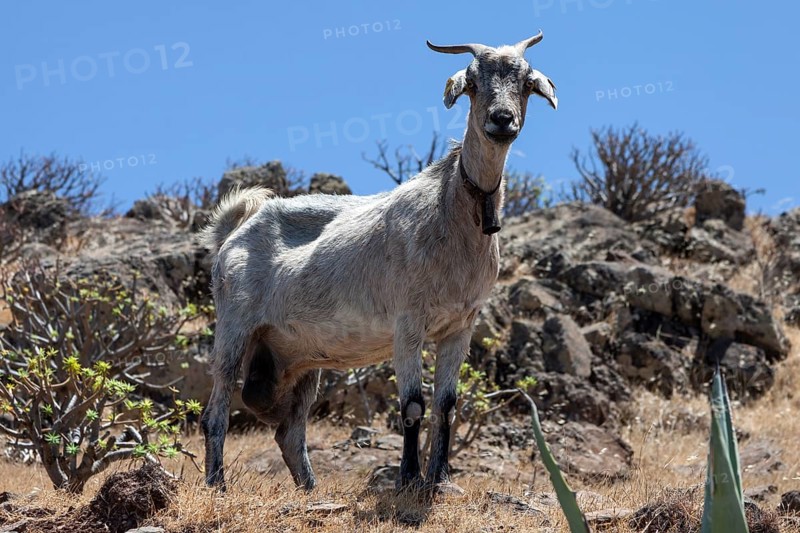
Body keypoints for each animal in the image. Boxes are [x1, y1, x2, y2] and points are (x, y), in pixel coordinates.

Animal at [199, 33, 557, 494]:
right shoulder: (408, 323)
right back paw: (217, 485)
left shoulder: (461, 325)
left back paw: (310, 489)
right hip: (234, 328)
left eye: (528, 82)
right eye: (473, 83)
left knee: (290, 432)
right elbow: (413, 405)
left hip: (299, 356)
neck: (453, 212)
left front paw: (440, 479)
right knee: (216, 413)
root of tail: (234, 230)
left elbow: (446, 405)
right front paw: (407, 479)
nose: (501, 120)